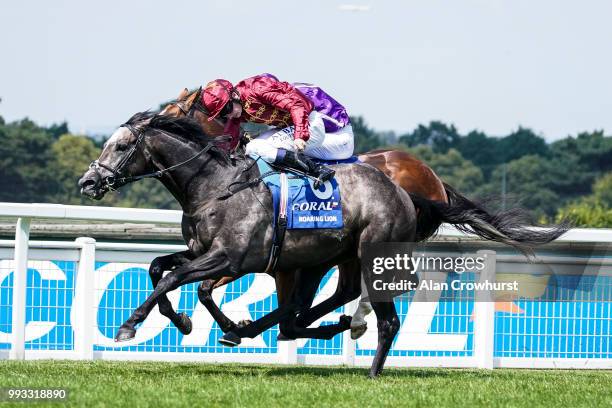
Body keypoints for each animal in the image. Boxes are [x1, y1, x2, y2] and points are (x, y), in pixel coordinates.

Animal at [79, 112, 418, 380]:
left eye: (121, 146)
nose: (88, 182)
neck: (214, 188)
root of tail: (403, 195)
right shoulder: (200, 252)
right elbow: (157, 268)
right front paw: (182, 320)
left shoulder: (228, 258)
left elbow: (173, 279)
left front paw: (129, 325)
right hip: (321, 257)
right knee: (304, 307)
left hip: (372, 256)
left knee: (387, 321)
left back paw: (371, 370)